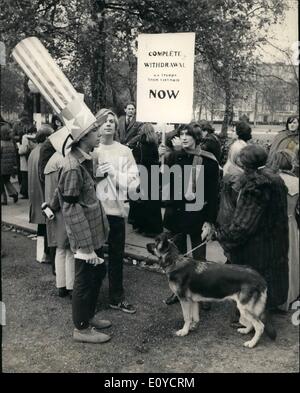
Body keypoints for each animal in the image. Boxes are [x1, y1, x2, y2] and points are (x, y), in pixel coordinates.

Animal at [146, 231, 276, 348]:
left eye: (155, 242)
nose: (147, 244)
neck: (174, 260)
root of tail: (260, 278)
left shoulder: (184, 300)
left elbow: (186, 317)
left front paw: (184, 331)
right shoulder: (193, 301)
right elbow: (195, 317)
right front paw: (193, 327)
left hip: (244, 307)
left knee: (260, 326)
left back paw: (252, 343)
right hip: (244, 308)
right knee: (252, 323)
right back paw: (245, 331)